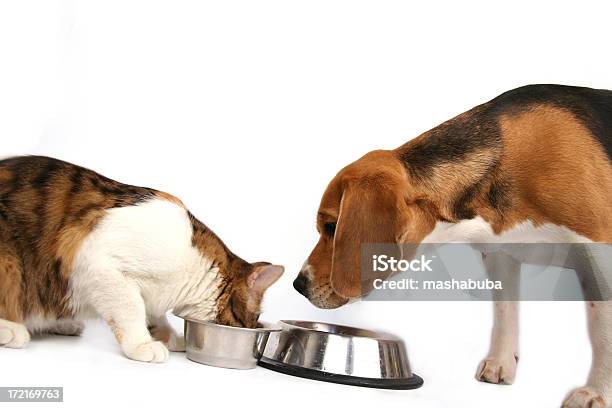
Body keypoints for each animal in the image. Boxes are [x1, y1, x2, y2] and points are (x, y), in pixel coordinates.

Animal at [0, 155, 282, 362]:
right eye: (250, 322)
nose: (252, 326)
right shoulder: (97, 263)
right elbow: (132, 309)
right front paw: (142, 344)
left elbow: (155, 316)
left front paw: (168, 338)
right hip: (11, 263)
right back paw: (13, 330)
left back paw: (61, 323)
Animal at [294, 85, 608, 408]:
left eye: (332, 227)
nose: (298, 284)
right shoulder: (500, 252)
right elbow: (505, 311)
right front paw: (500, 362)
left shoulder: (599, 254)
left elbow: (601, 332)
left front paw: (595, 392)